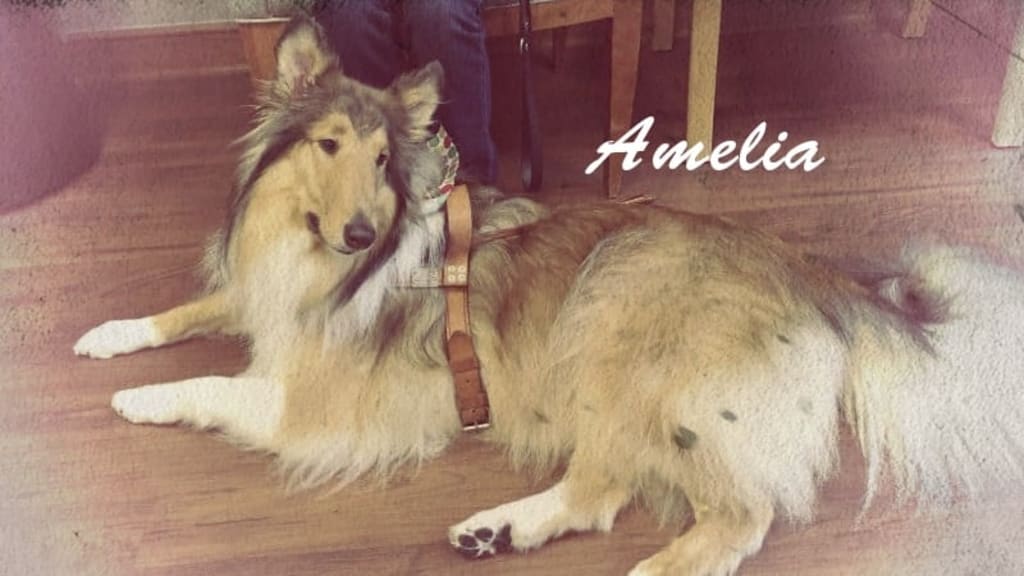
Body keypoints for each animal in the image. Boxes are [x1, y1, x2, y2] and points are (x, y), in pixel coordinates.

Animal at [73, 17, 1024, 576]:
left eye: (383, 160)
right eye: (330, 144)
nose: (360, 236)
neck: (316, 258)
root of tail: (814, 268)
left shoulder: (315, 405)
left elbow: (211, 385)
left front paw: (135, 397)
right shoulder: (268, 292)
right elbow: (193, 309)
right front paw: (106, 337)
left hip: (622, 331)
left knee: (738, 512)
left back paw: (648, 567)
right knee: (598, 490)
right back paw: (496, 530)